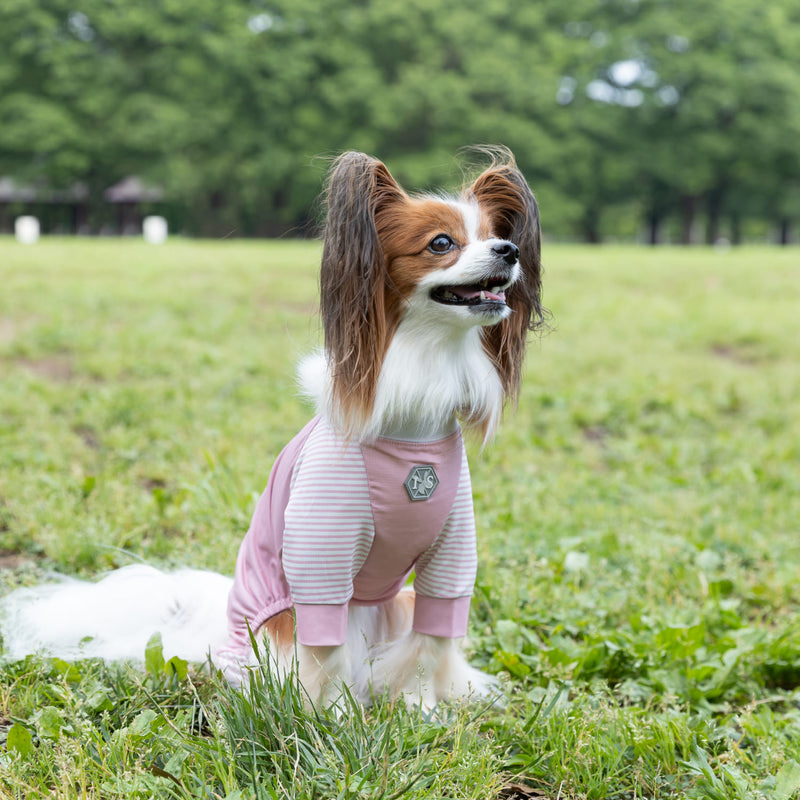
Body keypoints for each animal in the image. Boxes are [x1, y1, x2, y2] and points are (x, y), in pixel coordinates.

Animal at [1, 147, 544, 708]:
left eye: (493, 234)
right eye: (441, 243)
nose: (509, 250)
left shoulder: (450, 558)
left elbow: (428, 644)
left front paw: (420, 710)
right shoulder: (319, 559)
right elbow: (328, 655)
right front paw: (336, 717)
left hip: (398, 599)